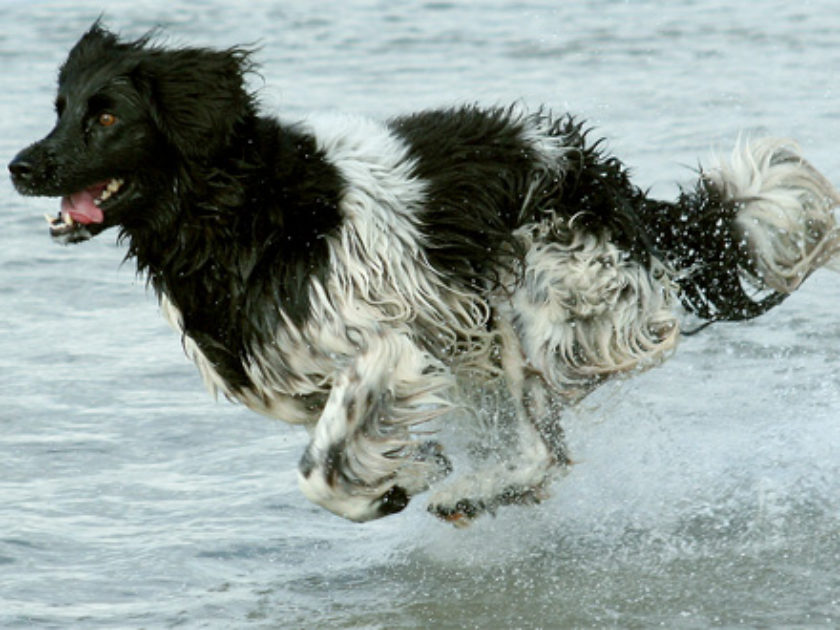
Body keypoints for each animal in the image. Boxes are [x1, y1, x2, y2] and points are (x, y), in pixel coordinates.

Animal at [8, 22, 840, 524]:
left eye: (107, 116)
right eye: (59, 107)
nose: (20, 165)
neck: (243, 212)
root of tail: (611, 185)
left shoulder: (389, 346)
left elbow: (318, 471)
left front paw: (394, 485)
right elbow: (342, 447)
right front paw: (408, 467)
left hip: (527, 300)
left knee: (542, 449)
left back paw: (481, 489)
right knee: (544, 452)